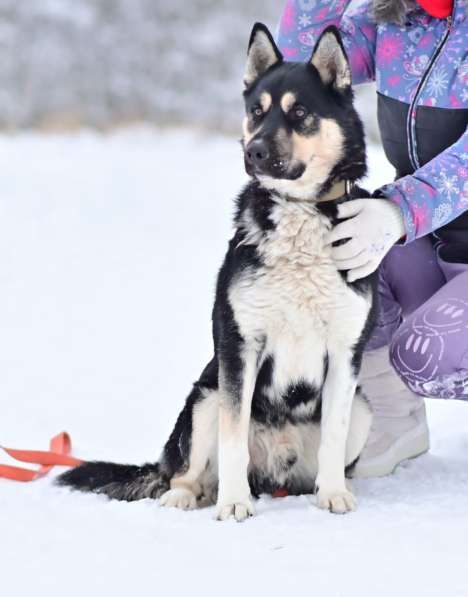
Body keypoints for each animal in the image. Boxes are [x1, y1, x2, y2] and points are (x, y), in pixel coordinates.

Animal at [57, 23, 376, 520]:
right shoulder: (240, 347)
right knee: (186, 470)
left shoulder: (345, 352)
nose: (254, 151)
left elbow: (333, 436)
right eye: (256, 112)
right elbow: (232, 441)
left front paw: (333, 494)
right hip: (204, 397)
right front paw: (232, 504)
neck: (299, 213)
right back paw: (190, 495)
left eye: (299, 112)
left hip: (363, 410)